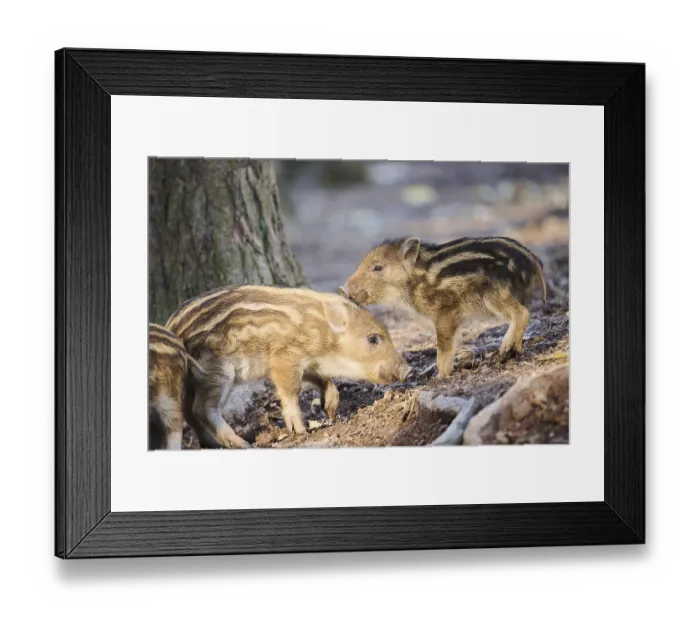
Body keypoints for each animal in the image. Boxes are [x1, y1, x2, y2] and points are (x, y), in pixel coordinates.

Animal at [164, 285, 411, 445]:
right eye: (373, 339)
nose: (408, 369)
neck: (323, 336)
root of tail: (172, 328)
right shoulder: (283, 359)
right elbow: (292, 392)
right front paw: (301, 431)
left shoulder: (306, 362)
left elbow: (322, 379)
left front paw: (331, 409)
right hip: (217, 372)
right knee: (202, 409)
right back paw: (242, 444)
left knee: (188, 411)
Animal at [340, 236, 547, 378]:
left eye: (378, 267)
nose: (343, 288)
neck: (414, 281)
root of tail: (532, 261)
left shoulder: (444, 314)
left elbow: (443, 348)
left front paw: (440, 376)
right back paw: (511, 351)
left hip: (495, 295)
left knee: (522, 313)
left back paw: (505, 351)